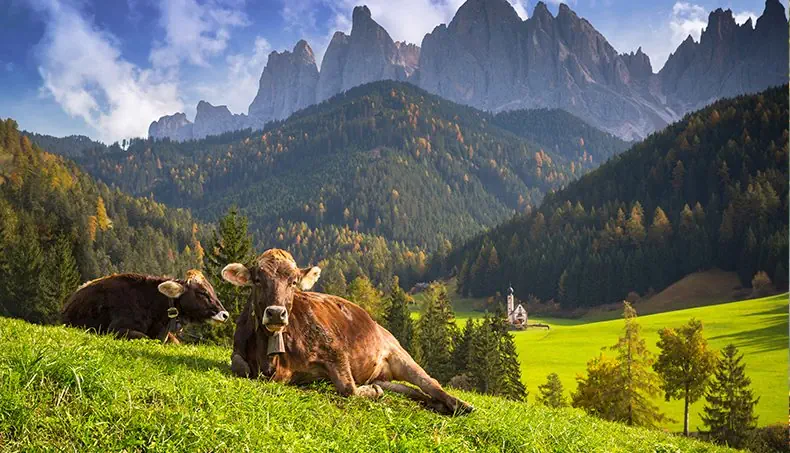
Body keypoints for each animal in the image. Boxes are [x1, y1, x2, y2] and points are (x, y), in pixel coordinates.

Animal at [222, 249, 474, 415]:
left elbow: (348, 389)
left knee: (431, 383)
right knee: (413, 391)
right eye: (257, 280)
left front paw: (371, 393)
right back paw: (433, 404)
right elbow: (240, 366)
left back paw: (459, 405)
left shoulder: (335, 350)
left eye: (293, 282)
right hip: (383, 374)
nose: (276, 313)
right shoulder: (238, 349)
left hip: (400, 355)